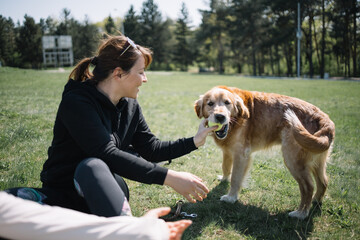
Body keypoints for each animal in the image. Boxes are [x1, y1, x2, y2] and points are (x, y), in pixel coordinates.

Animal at [194, 86, 334, 219]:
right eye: (210, 103)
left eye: (227, 103)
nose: (220, 117)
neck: (236, 122)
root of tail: (325, 119)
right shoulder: (228, 151)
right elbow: (226, 167)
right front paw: (224, 179)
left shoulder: (241, 154)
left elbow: (235, 178)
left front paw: (231, 197)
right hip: (316, 162)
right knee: (323, 182)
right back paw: (315, 201)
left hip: (292, 160)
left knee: (308, 187)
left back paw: (301, 213)